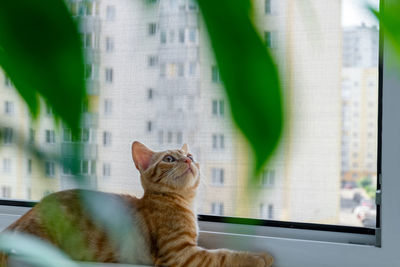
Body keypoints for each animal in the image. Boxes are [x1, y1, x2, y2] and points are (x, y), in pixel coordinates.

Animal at [0, 141, 274, 266]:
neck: (182, 203)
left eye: (190, 155)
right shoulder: (180, 255)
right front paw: (259, 258)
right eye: (169, 158)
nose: (188, 160)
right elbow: (222, 255)